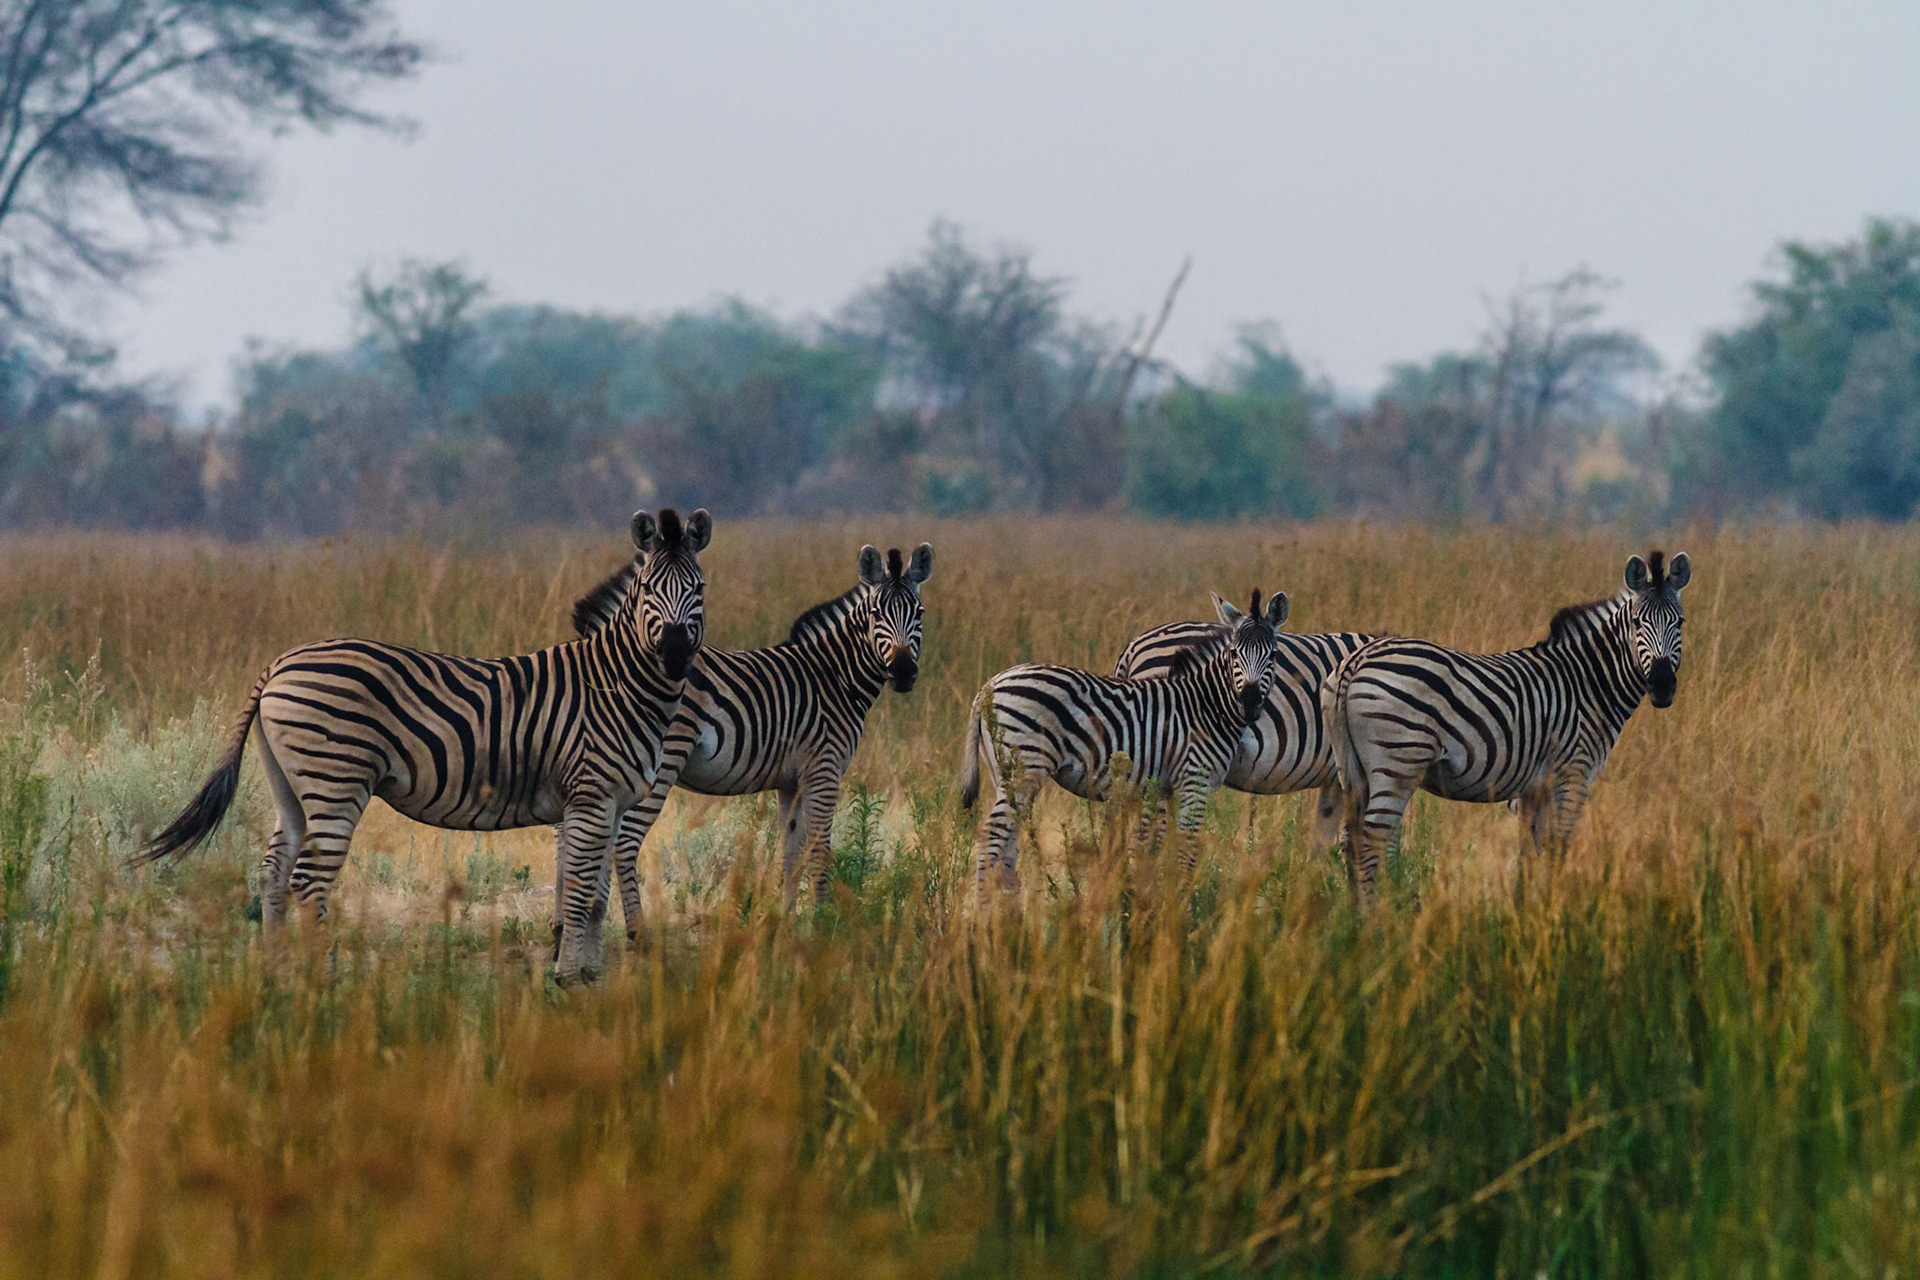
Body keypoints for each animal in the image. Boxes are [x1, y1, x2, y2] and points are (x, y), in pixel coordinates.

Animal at [137, 508, 713, 984]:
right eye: (648, 589)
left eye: (700, 587)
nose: (675, 652)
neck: (617, 683)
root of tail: (278, 663)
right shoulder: (591, 797)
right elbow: (578, 893)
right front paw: (570, 979)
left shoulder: (606, 803)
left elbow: (591, 897)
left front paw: (591, 979)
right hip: (336, 780)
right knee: (308, 881)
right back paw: (321, 986)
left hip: (290, 786)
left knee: (274, 872)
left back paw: (277, 977)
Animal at [567, 542, 933, 923]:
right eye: (876, 614)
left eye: (920, 612)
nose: (903, 672)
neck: (835, 677)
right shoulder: (824, 768)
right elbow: (820, 851)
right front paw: (824, 922)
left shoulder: (791, 781)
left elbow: (792, 854)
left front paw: (786, 924)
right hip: (658, 761)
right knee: (623, 843)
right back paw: (637, 930)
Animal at [960, 589, 1288, 888]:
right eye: (1234, 654)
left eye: (1273, 655)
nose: (1249, 702)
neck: (1204, 705)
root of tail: (988, 686)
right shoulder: (1194, 779)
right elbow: (1185, 851)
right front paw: (1180, 903)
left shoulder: (1163, 786)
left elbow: (1154, 849)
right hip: (1024, 766)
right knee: (992, 837)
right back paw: (982, 912)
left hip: (1004, 772)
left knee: (1006, 843)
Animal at [1322, 549, 1691, 904]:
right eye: (1638, 622)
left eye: (1680, 622)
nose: (1662, 685)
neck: (1586, 682)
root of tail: (1356, 661)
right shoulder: (1573, 773)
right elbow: (1559, 847)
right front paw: (1560, 909)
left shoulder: (1533, 788)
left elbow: (1531, 852)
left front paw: (1526, 908)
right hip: (1398, 763)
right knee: (1371, 841)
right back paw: (1376, 918)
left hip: (1352, 770)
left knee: (1350, 840)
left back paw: (1355, 918)